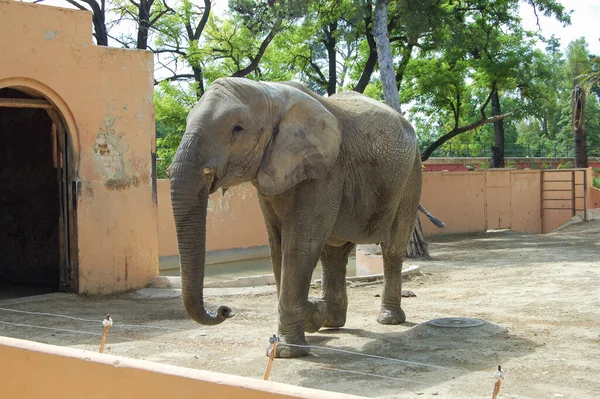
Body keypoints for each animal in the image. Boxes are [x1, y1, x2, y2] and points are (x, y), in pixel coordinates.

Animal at [169, 77, 422, 360]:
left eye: (237, 128)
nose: (225, 310)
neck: (270, 92)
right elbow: (277, 246)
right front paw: (311, 318)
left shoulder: (324, 171)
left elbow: (298, 246)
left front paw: (285, 350)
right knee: (334, 252)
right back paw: (331, 322)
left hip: (412, 173)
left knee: (392, 248)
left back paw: (388, 320)